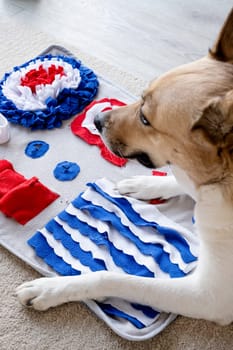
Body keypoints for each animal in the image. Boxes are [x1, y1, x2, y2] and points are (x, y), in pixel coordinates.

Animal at [16, 8, 233, 326]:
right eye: (140, 97)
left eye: (144, 118)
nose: (97, 121)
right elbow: (178, 179)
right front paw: (146, 183)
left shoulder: (209, 297)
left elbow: (111, 278)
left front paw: (52, 288)